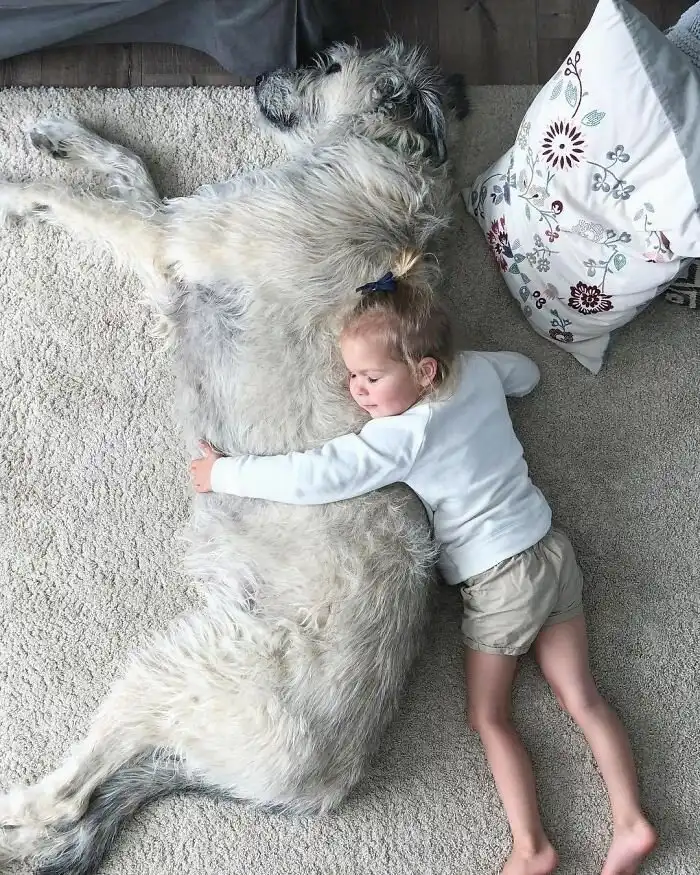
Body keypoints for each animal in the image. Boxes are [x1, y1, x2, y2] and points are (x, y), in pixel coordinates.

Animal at [0, 40, 460, 874]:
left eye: (332, 61)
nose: (261, 72)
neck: (383, 152)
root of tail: (322, 786)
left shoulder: (168, 238)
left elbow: (81, 200)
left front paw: (15, 190)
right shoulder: (173, 225)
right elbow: (129, 168)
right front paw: (61, 135)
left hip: (176, 667)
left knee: (68, 798)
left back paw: (12, 811)